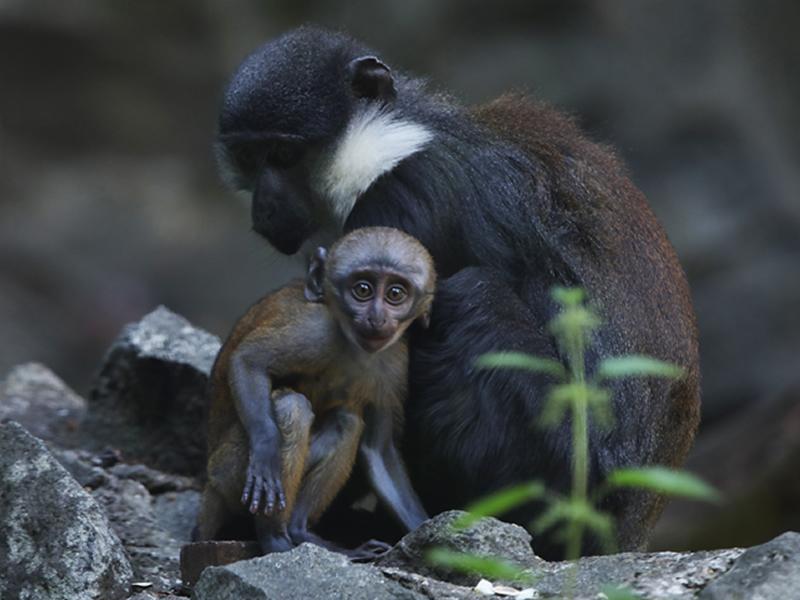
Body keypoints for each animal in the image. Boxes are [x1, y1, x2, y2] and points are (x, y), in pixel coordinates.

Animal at [196, 226, 434, 556]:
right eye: (362, 290)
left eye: (395, 294)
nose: (376, 318)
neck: (355, 349)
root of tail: (211, 486)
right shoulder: (315, 331)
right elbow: (248, 361)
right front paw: (266, 450)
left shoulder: (396, 364)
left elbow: (379, 451)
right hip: (227, 473)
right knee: (291, 406)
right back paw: (274, 538)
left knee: (346, 421)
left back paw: (300, 530)